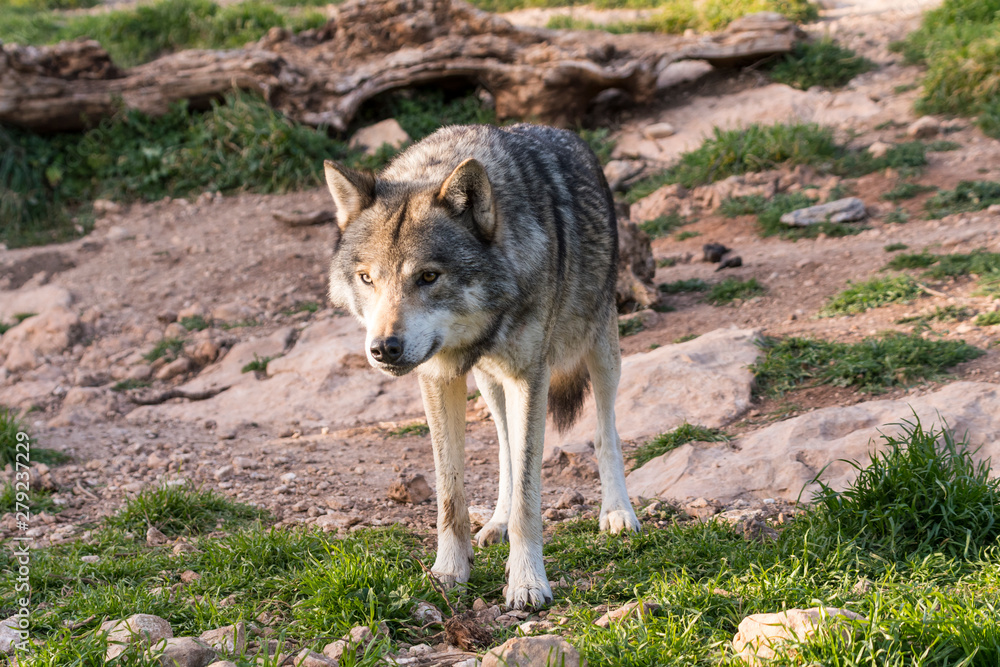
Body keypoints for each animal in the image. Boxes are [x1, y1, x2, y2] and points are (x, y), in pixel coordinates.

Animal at [323, 123, 641, 609]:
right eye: (366, 278)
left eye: (428, 276)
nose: (384, 349)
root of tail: (564, 133)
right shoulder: (438, 380)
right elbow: (451, 496)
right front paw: (449, 572)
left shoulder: (531, 376)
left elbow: (529, 499)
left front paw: (528, 582)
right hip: (490, 384)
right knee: (506, 448)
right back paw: (495, 523)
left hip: (600, 348)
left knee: (606, 432)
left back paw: (617, 512)